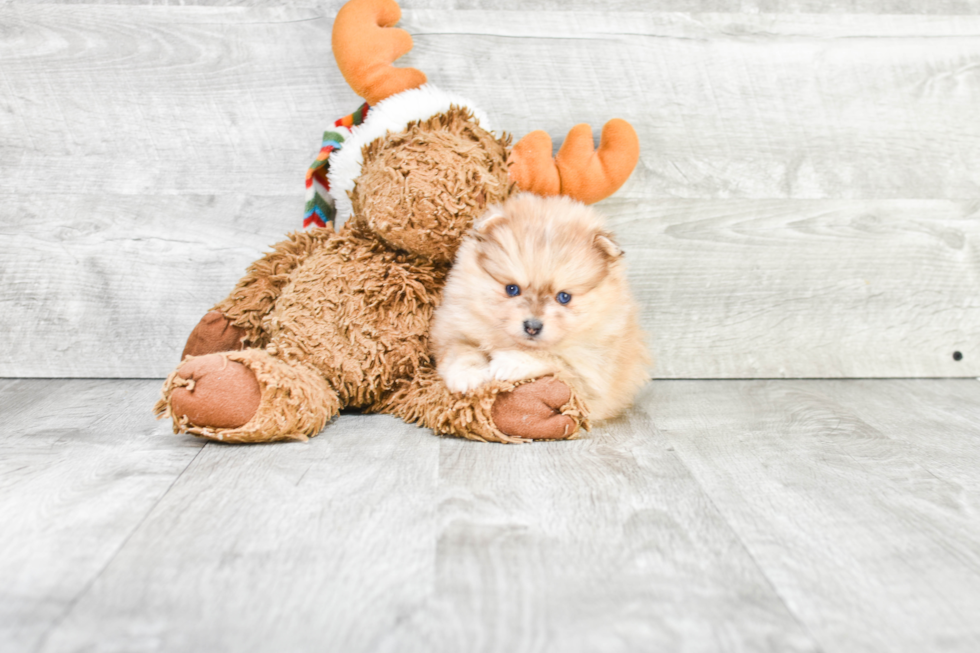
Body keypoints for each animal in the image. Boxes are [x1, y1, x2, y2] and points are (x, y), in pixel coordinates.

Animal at [430, 191, 652, 420]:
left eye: (564, 297)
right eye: (512, 289)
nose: (532, 327)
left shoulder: (591, 374)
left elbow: (553, 358)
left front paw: (510, 362)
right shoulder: (453, 328)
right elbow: (461, 350)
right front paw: (468, 375)